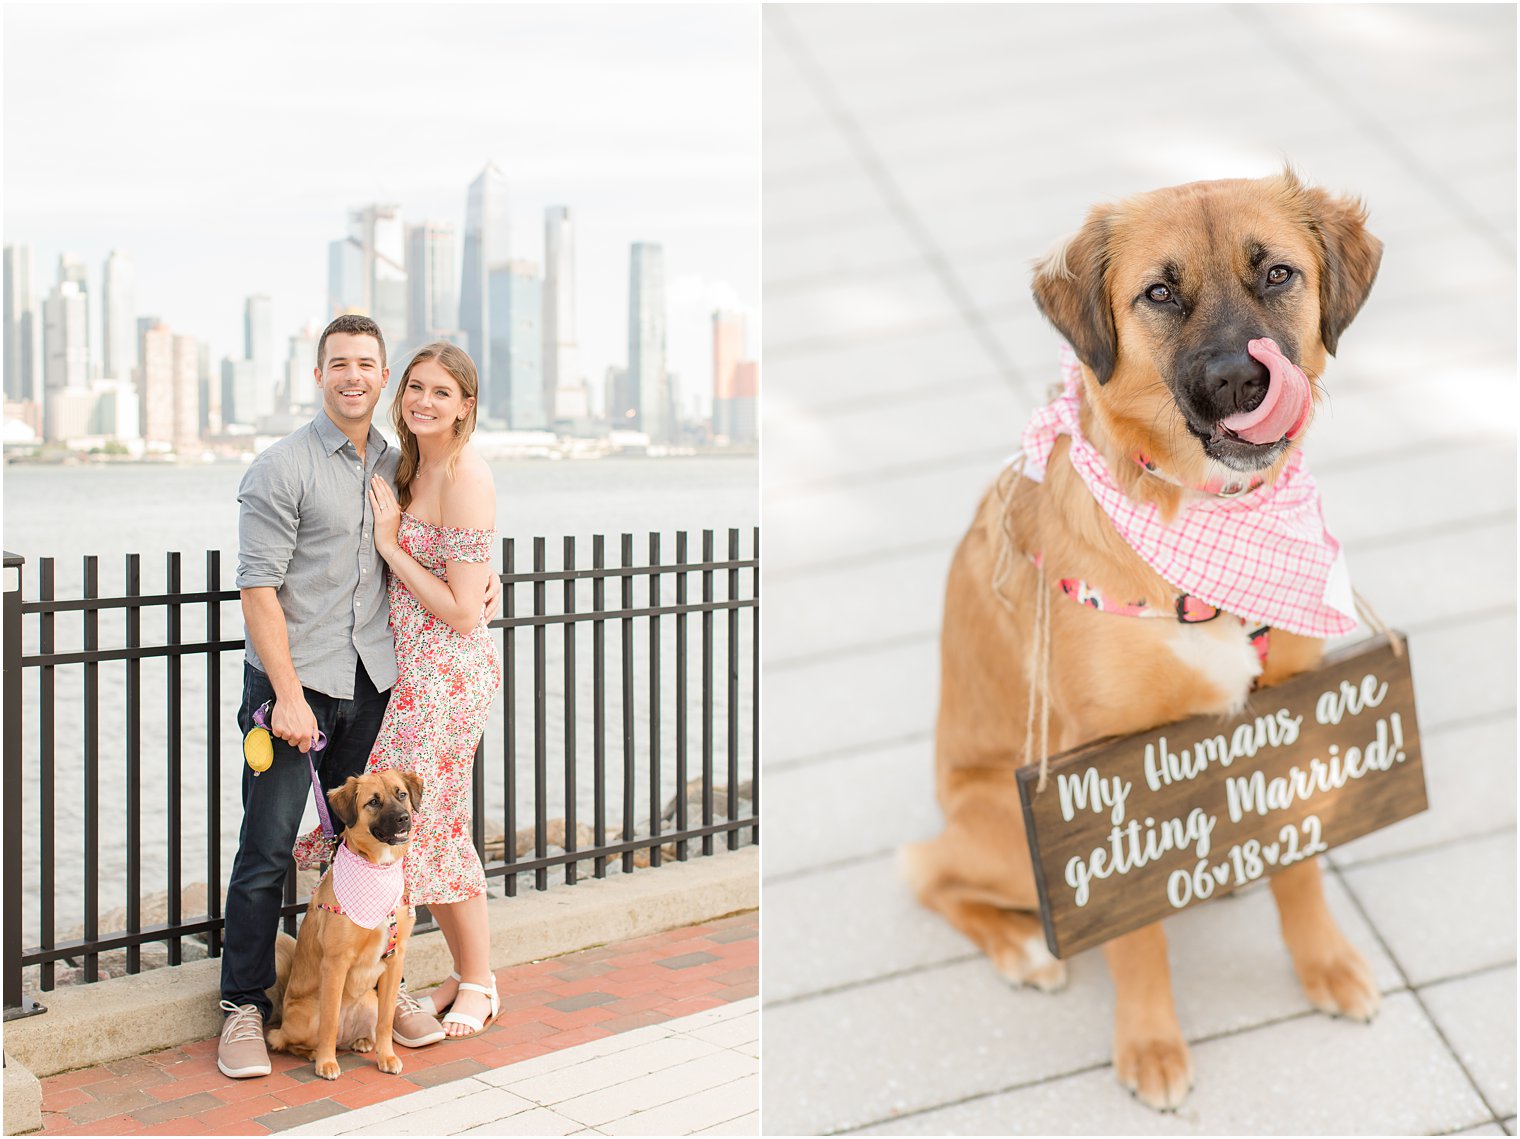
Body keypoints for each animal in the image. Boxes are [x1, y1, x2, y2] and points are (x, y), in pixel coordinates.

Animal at [267, 769, 422, 1082]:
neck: (377, 867)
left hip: (370, 1003)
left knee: (366, 1029)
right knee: (288, 1041)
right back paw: (315, 1053)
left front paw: (387, 1057)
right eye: (373, 802)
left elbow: (387, 1021)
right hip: (306, 1014)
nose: (403, 818)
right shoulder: (336, 962)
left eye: (401, 794)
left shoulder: (395, 958)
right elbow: (328, 1021)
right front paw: (326, 1063)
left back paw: (362, 1042)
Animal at [899, 171, 1392, 1113]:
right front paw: (1151, 1043)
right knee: (927, 869)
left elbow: (1300, 863)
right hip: (1010, 837)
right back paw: (1023, 947)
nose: (1240, 378)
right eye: (1158, 294)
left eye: (1278, 273)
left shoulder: (1290, 702)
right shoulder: (1104, 762)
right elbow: (1136, 934)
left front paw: (1323, 963)